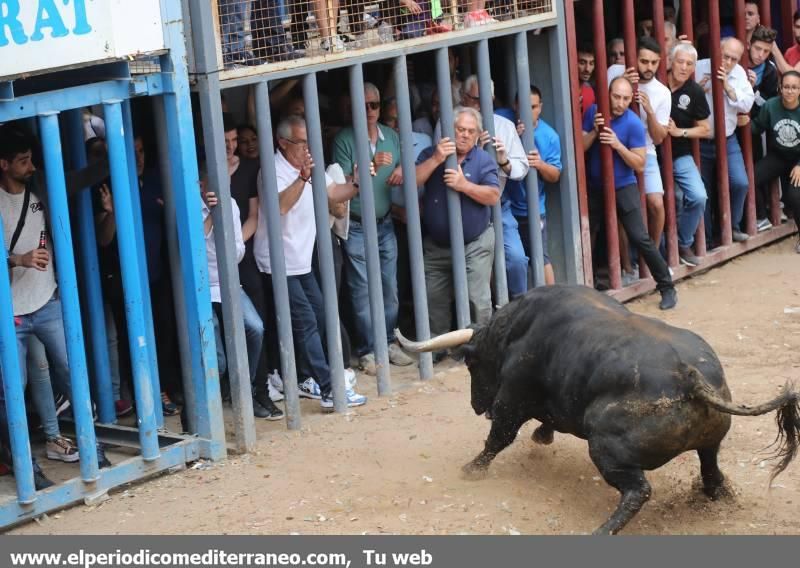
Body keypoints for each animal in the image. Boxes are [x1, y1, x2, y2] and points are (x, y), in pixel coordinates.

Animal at [396, 286, 800, 536]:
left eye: (470, 363)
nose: (477, 407)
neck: (516, 328)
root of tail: (691, 376)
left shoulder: (512, 395)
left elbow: (500, 436)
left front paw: (472, 469)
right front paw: (541, 436)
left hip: (606, 448)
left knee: (638, 491)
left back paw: (603, 530)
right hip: (710, 441)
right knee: (711, 471)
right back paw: (723, 497)